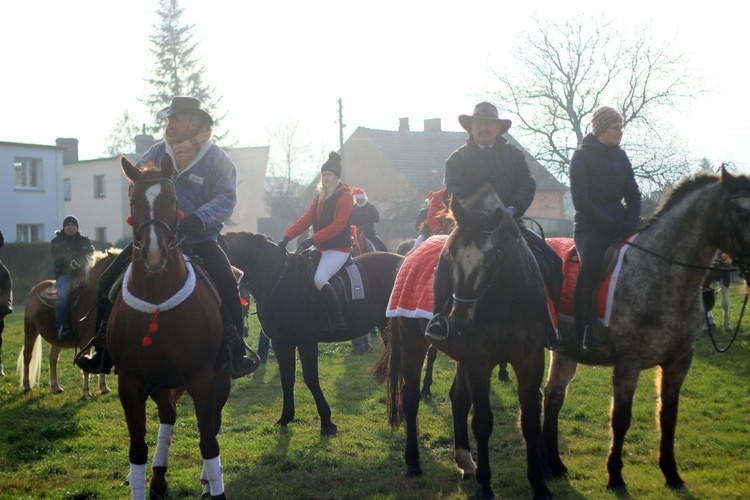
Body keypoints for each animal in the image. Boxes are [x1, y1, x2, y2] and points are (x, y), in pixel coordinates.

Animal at [18, 250, 117, 394]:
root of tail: (34, 289)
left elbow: (101, 362)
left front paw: (104, 387)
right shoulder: (85, 340)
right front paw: (86, 391)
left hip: (56, 339)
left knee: (53, 358)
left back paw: (56, 386)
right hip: (30, 329)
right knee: (27, 355)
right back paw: (27, 384)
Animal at [110, 157, 231, 500]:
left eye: (173, 200)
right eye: (133, 202)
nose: (153, 253)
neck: (158, 300)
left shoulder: (203, 378)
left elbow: (208, 440)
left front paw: (216, 489)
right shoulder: (130, 383)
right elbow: (137, 449)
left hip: (220, 378)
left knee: (211, 425)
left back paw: (207, 481)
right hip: (160, 383)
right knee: (168, 416)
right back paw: (159, 478)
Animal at [220, 229, 406, 434]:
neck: (279, 279)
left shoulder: (306, 340)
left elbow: (310, 377)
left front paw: (326, 421)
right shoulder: (281, 342)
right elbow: (287, 378)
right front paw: (285, 418)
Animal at [376, 185, 560, 500]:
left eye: (493, 255)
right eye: (450, 254)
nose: (459, 318)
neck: (507, 299)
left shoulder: (530, 360)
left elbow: (530, 420)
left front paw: (539, 484)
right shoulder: (479, 361)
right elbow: (483, 421)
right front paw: (486, 486)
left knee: (458, 398)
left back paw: (464, 460)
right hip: (414, 344)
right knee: (411, 398)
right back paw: (413, 463)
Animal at [544, 168, 750, 492]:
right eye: (741, 213)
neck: (660, 275)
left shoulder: (679, 362)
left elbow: (668, 416)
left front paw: (672, 474)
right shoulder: (628, 363)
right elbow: (621, 419)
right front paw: (615, 477)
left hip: (564, 352)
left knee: (552, 397)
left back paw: (553, 465)